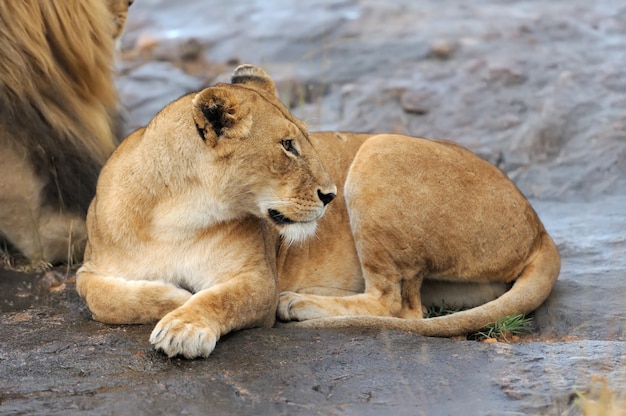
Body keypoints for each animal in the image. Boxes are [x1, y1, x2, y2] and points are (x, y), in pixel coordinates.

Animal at [75, 64, 560, 358]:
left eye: (305, 139)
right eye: (287, 146)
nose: (330, 196)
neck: (175, 215)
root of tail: (540, 226)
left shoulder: (258, 278)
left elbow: (220, 296)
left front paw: (182, 322)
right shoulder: (90, 268)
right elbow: (102, 299)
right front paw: (173, 297)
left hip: (380, 150)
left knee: (399, 306)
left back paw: (297, 304)